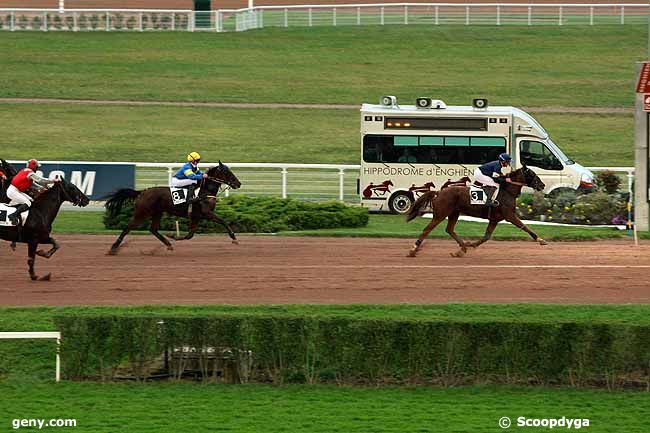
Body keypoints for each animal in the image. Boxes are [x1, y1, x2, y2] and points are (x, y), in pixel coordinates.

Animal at [105, 163, 240, 256]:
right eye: (228, 172)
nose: (238, 184)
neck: (205, 192)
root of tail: (142, 192)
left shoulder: (197, 216)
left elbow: (190, 235)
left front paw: (173, 236)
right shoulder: (207, 213)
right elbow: (223, 221)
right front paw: (234, 238)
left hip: (157, 213)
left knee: (153, 229)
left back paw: (168, 244)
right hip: (142, 213)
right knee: (127, 228)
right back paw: (113, 248)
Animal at [408, 165, 544, 256]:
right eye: (532, 174)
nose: (542, 185)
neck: (507, 191)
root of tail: (438, 192)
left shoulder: (494, 219)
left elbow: (486, 236)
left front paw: (471, 244)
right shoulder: (510, 215)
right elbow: (524, 226)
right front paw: (540, 240)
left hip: (454, 213)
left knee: (449, 229)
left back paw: (463, 248)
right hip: (440, 214)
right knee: (427, 229)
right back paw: (413, 249)